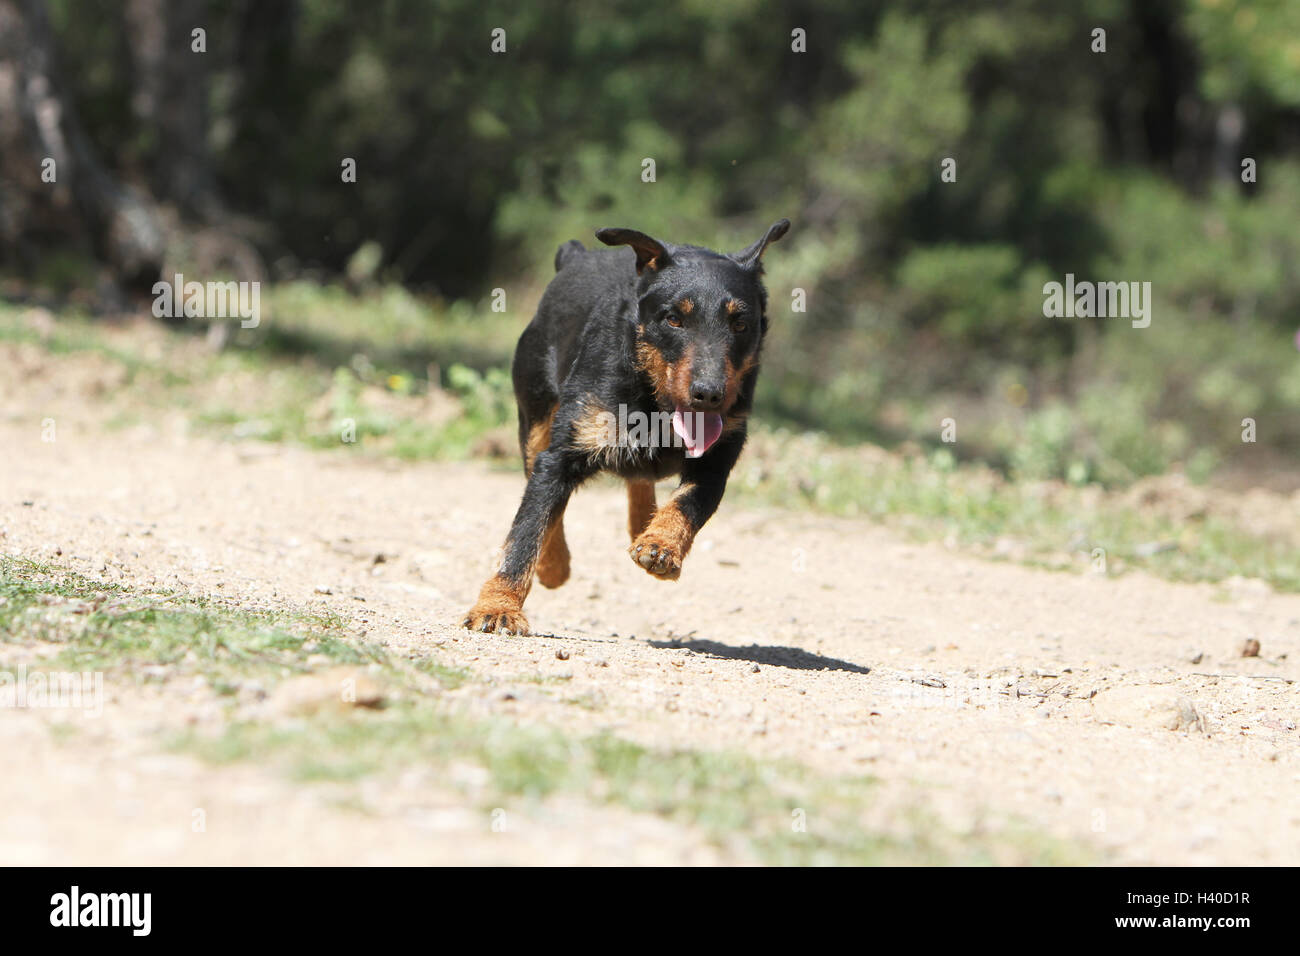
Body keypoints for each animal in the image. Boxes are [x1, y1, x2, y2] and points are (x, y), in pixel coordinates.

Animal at [467, 218, 790, 634]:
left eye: (740, 323)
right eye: (673, 318)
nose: (709, 393)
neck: (654, 406)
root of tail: (575, 256)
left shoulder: (716, 460)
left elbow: (688, 503)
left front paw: (661, 543)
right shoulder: (562, 452)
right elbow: (528, 529)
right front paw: (499, 606)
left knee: (640, 480)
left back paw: (644, 525)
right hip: (535, 419)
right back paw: (555, 564)